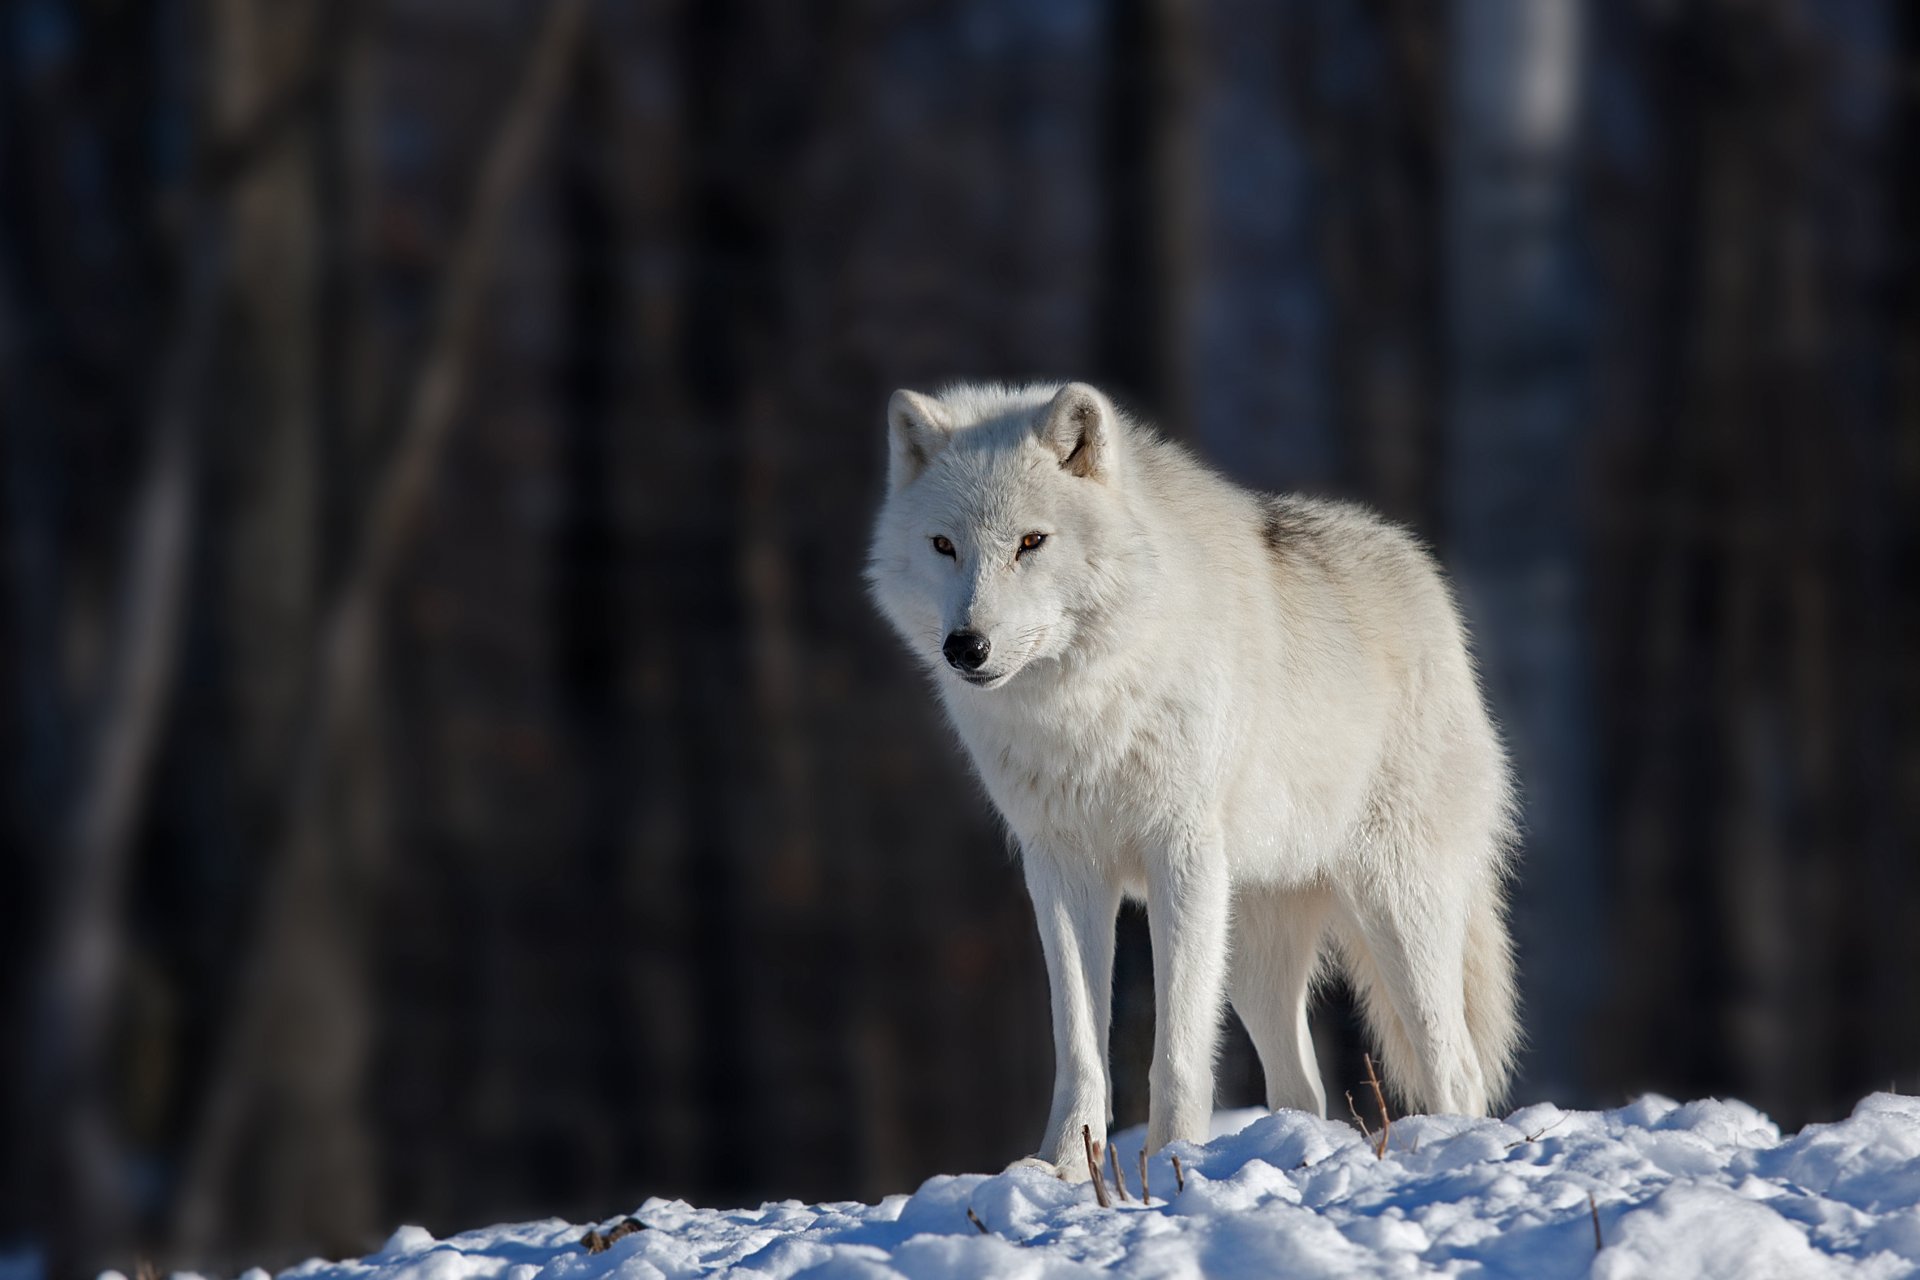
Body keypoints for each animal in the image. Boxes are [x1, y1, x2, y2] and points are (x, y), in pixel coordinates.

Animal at [866, 381, 1520, 1178]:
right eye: (943, 546)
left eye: (1030, 542)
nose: (967, 647)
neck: (1085, 707)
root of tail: (1422, 575)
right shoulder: (1060, 869)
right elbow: (1078, 1045)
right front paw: (1062, 1169)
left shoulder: (1179, 854)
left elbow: (1177, 1050)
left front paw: (1172, 1161)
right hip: (1249, 948)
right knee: (1302, 1086)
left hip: (1393, 908)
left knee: (1454, 1065)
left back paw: (1454, 1150)